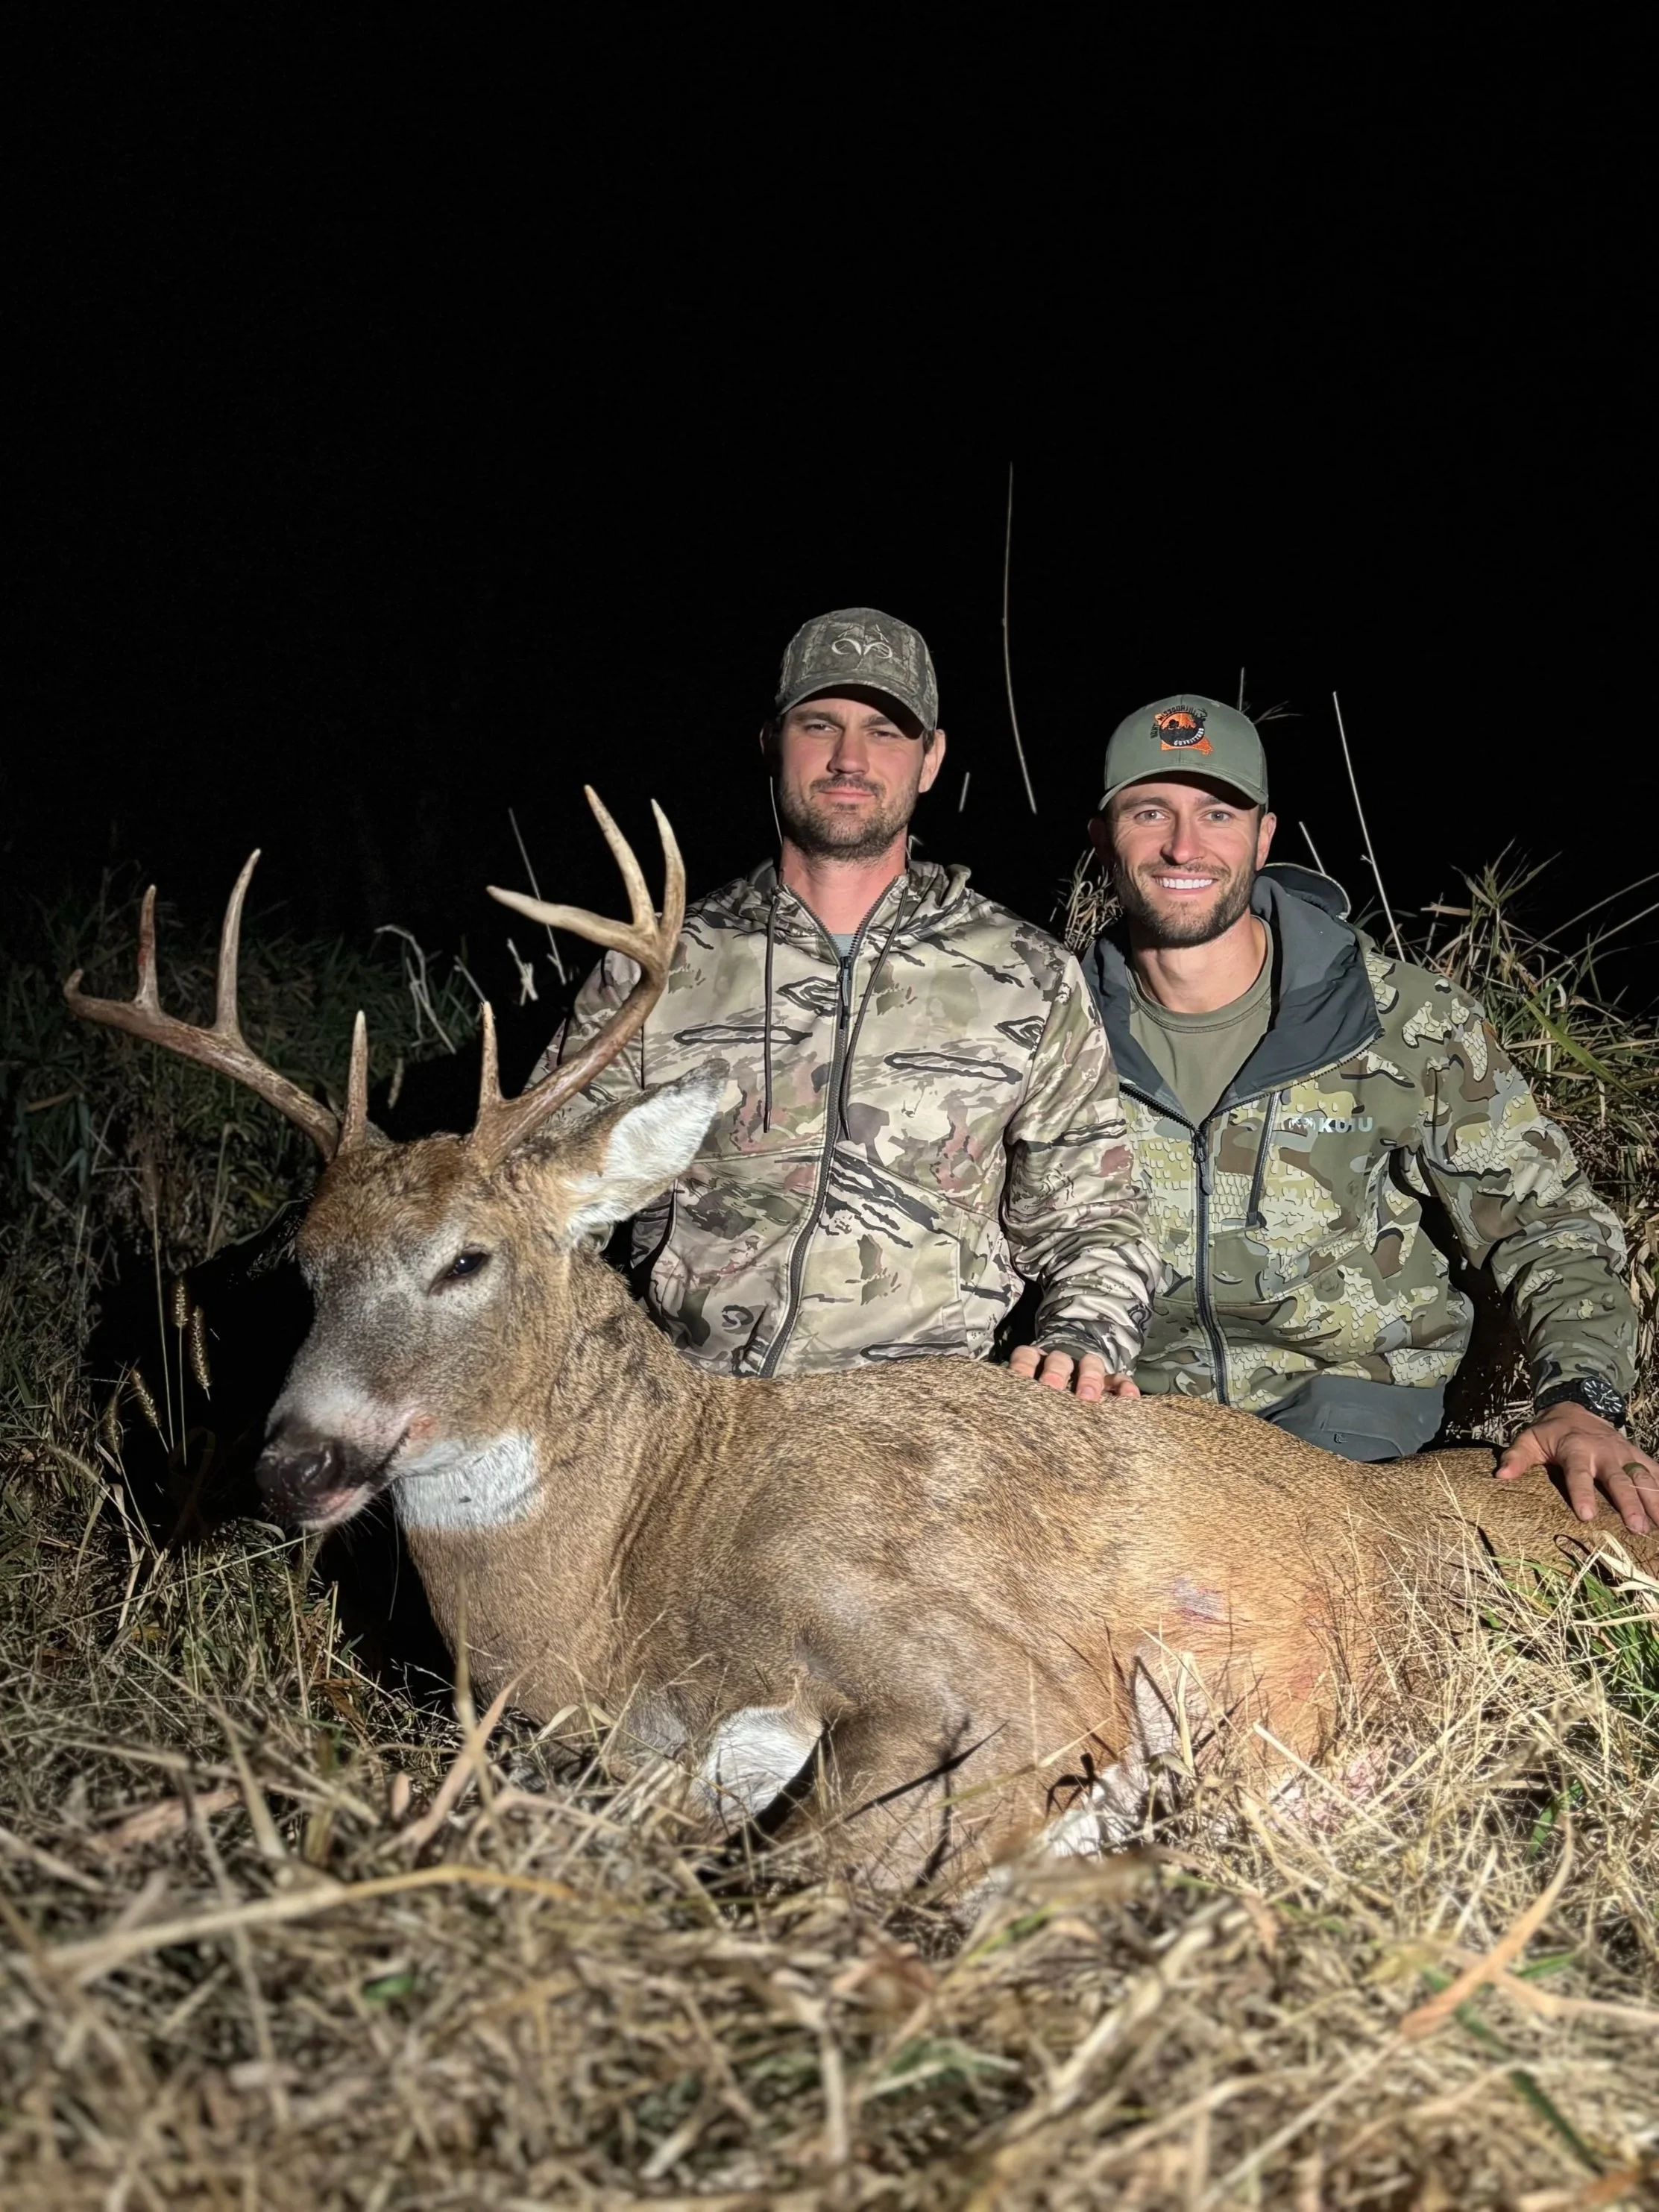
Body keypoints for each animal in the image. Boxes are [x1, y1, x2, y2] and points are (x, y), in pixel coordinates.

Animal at [66, 793, 1659, 1888]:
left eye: (470, 1255)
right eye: (308, 1267)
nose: (295, 1460)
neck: (626, 1575)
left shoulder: (1004, 1671)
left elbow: (805, 1877)